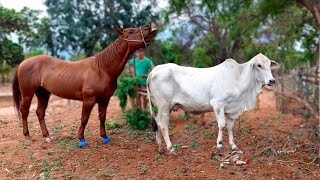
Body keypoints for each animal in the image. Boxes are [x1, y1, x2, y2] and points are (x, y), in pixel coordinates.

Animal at [12, 23, 158, 147]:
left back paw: (47, 136)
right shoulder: (89, 100)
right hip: (27, 94)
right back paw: (27, 136)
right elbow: (84, 118)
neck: (102, 69)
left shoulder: (105, 99)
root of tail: (22, 63)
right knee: (24, 111)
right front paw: (82, 140)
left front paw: (105, 137)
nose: (149, 26)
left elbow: (102, 117)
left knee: (40, 112)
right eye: (131, 31)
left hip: (43, 93)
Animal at [146, 52, 278, 153]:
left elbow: (230, 126)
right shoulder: (218, 104)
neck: (239, 79)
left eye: (269, 64)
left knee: (157, 123)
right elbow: (221, 124)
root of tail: (154, 70)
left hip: (164, 108)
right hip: (164, 106)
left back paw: (160, 147)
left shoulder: (232, 110)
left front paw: (233, 145)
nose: (272, 80)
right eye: (259, 65)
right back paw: (170, 148)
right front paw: (219, 145)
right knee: (163, 125)